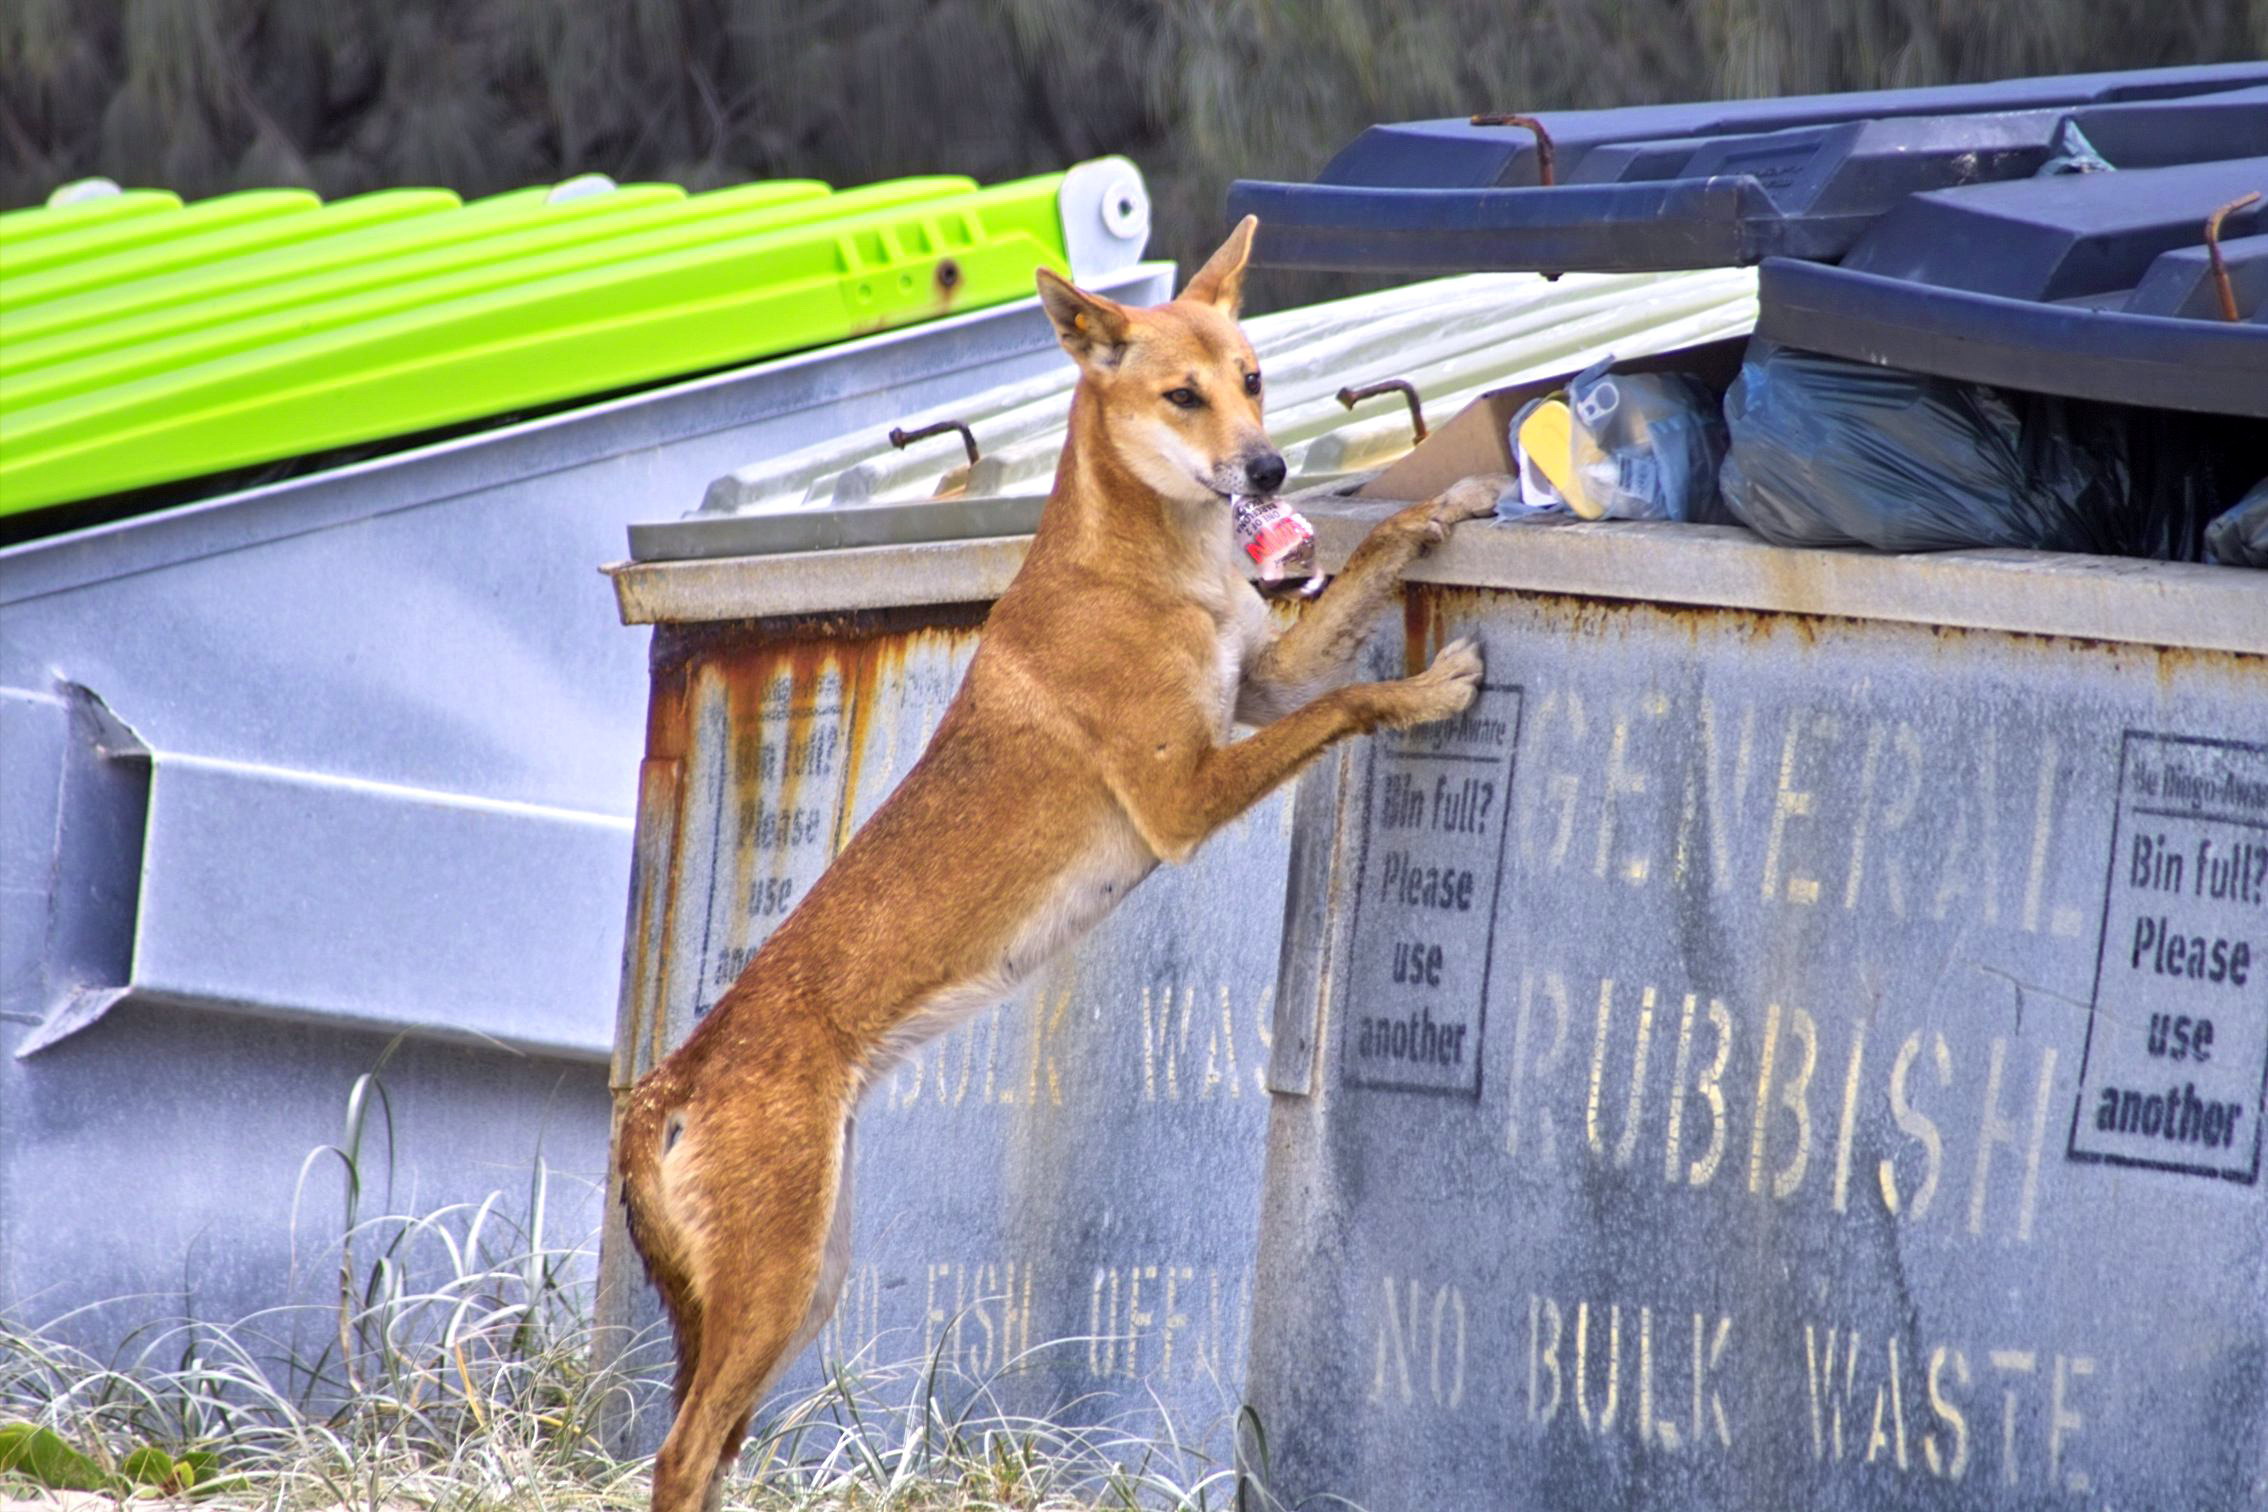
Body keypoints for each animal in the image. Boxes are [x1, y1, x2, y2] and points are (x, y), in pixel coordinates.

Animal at [612, 215, 1515, 1512]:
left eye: (1253, 379)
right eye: (1182, 397)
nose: (1271, 471)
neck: (1147, 567)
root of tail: (665, 1087)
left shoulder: (1262, 682)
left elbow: (1367, 571)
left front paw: (1455, 496)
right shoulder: (1185, 799)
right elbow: (1351, 703)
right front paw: (1432, 686)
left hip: (805, 1286)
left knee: (707, 1447)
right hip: (779, 1287)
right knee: (680, 1455)